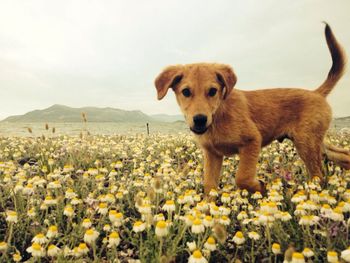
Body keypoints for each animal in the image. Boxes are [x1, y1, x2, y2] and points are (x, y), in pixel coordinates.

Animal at [154, 23, 348, 196]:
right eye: (186, 92)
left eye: (213, 91)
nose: (200, 119)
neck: (218, 116)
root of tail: (317, 93)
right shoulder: (212, 154)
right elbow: (209, 185)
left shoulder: (252, 141)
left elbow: (242, 177)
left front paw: (259, 187)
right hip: (314, 142)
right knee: (343, 154)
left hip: (306, 144)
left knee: (318, 175)